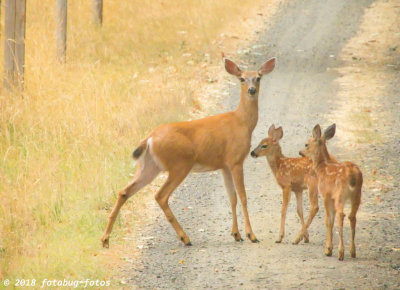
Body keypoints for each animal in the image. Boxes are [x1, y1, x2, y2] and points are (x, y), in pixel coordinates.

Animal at [100, 55, 276, 247]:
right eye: (242, 78)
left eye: (258, 77)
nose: (252, 90)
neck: (242, 122)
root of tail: (150, 138)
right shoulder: (236, 159)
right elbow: (243, 197)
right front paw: (251, 235)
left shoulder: (224, 165)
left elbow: (232, 197)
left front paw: (236, 234)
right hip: (179, 165)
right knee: (160, 195)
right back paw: (185, 237)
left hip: (150, 166)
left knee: (124, 191)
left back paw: (105, 239)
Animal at [300, 123, 362, 260]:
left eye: (306, 144)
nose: (300, 152)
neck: (322, 167)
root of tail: (352, 175)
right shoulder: (331, 197)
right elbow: (331, 220)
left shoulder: (326, 194)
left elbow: (328, 221)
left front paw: (328, 249)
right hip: (357, 195)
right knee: (352, 217)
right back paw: (352, 252)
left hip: (340, 194)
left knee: (341, 215)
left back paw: (341, 253)